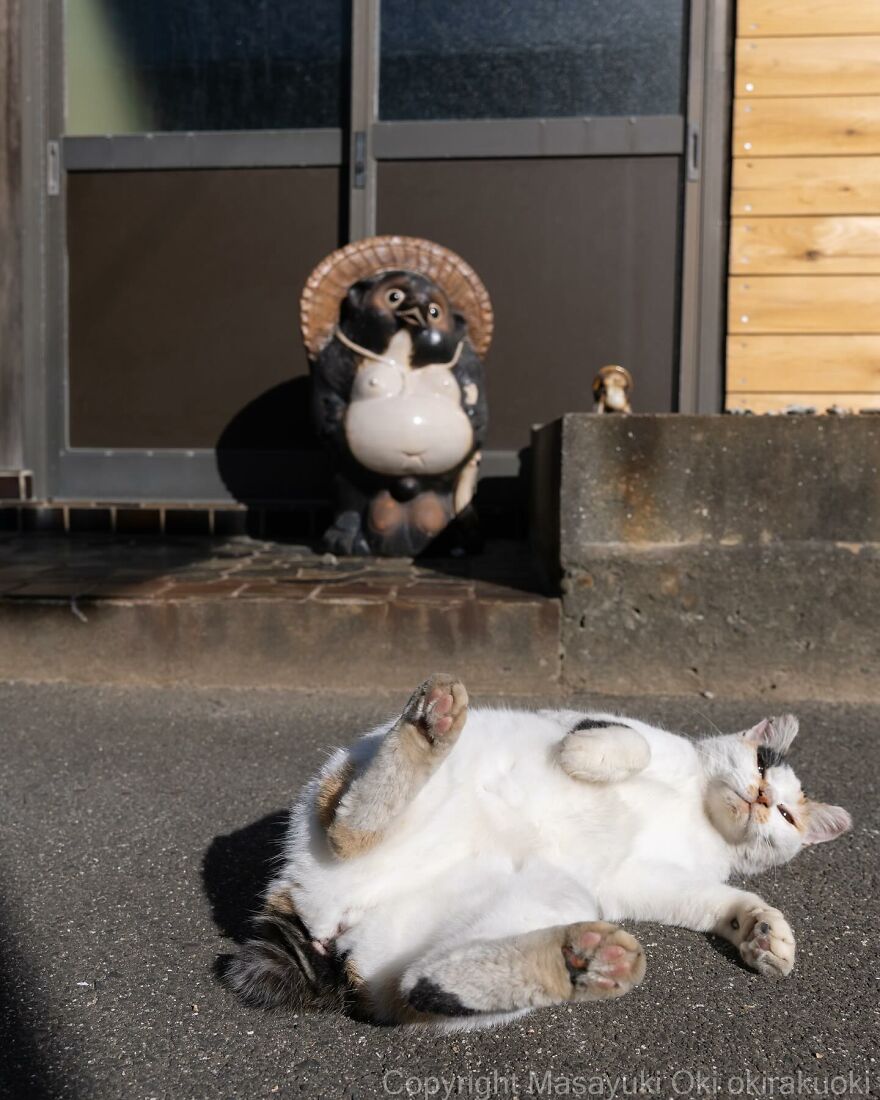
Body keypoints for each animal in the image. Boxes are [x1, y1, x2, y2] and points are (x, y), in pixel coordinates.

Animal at [225, 673, 853, 1025]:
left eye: (788, 815)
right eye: (762, 764)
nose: (764, 797)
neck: (697, 811)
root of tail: (324, 918)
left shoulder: (655, 882)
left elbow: (721, 902)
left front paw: (764, 935)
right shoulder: (595, 723)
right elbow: (634, 744)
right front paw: (587, 759)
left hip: (544, 899)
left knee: (421, 986)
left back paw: (584, 964)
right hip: (352, 790)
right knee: (348, 829)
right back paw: (431, 725)